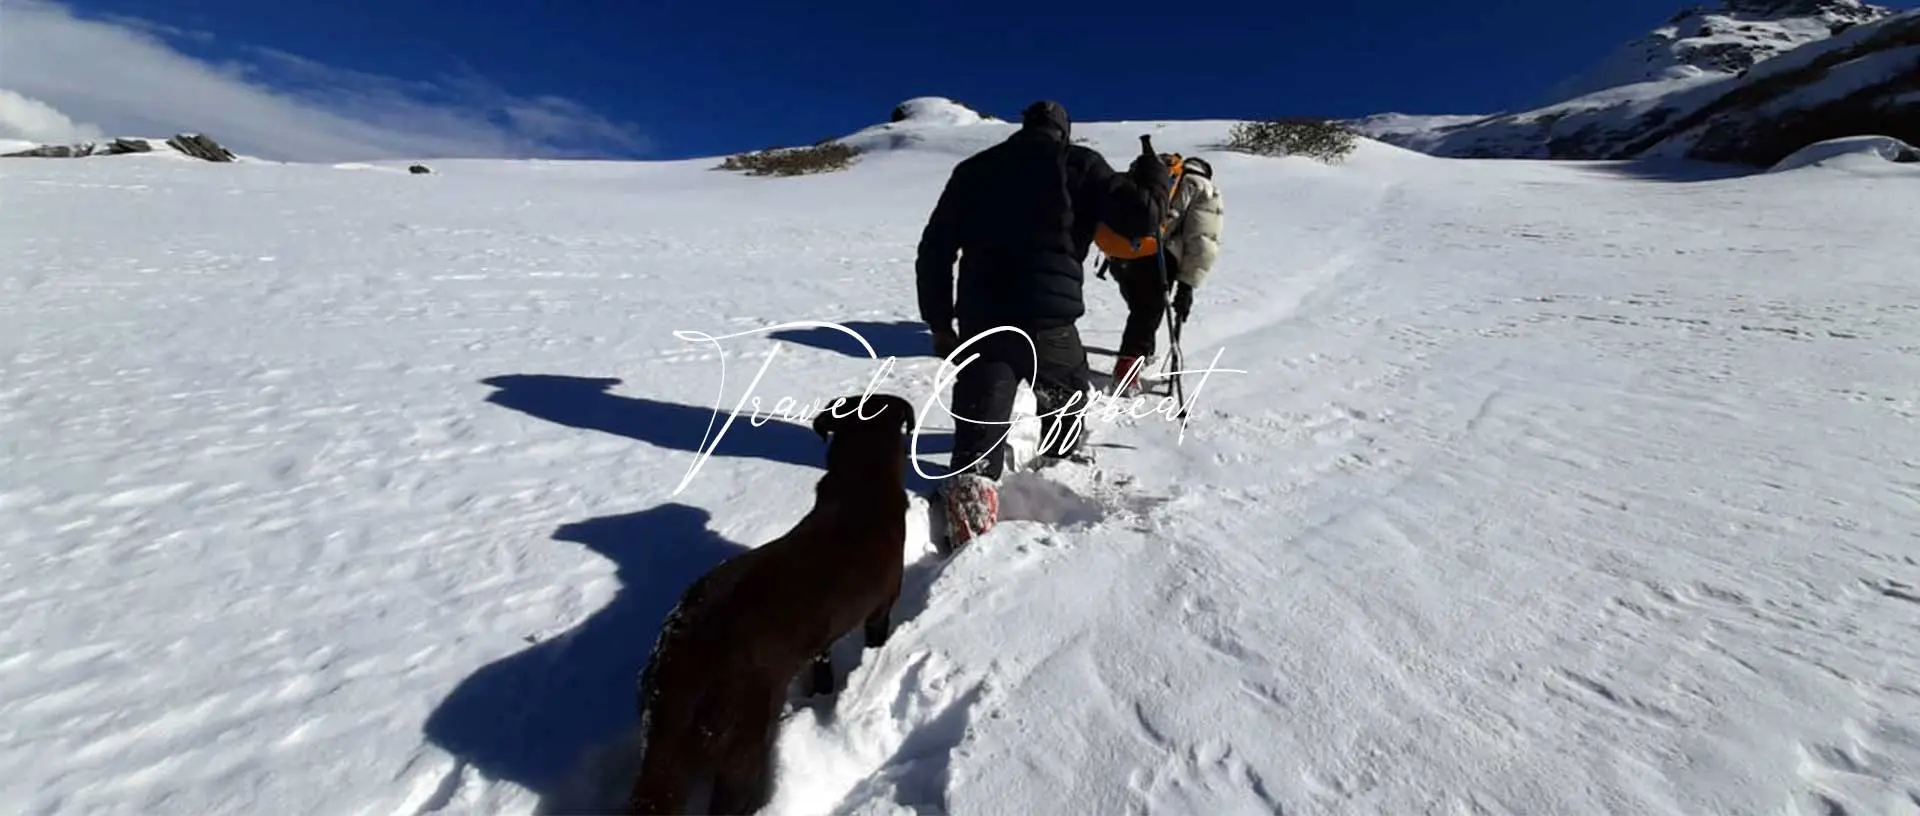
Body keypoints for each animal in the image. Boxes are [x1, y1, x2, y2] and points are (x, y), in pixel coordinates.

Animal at [629, 391, 913, 810]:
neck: (861, 483)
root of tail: (682, 661)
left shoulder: (820, 640)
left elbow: (823, 666)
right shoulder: (881, 608)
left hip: (663, 752)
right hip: (742, 739)